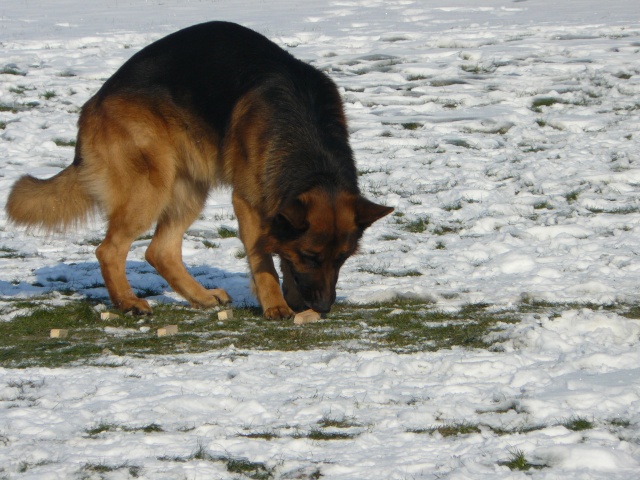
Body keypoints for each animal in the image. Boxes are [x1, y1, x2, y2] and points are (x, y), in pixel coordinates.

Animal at [5, 22, 392, 318]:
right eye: (311, 256)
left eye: (341, 259)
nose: (324, 307)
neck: (309, 144)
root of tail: (94, 102)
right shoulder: (249, 203)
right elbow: (264, 259)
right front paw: (276, 306)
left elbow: (280, 256)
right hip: (151, 189)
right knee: (109, 250)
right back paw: (128, 302)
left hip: (189, 188)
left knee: (159, 251)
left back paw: (201, 297)